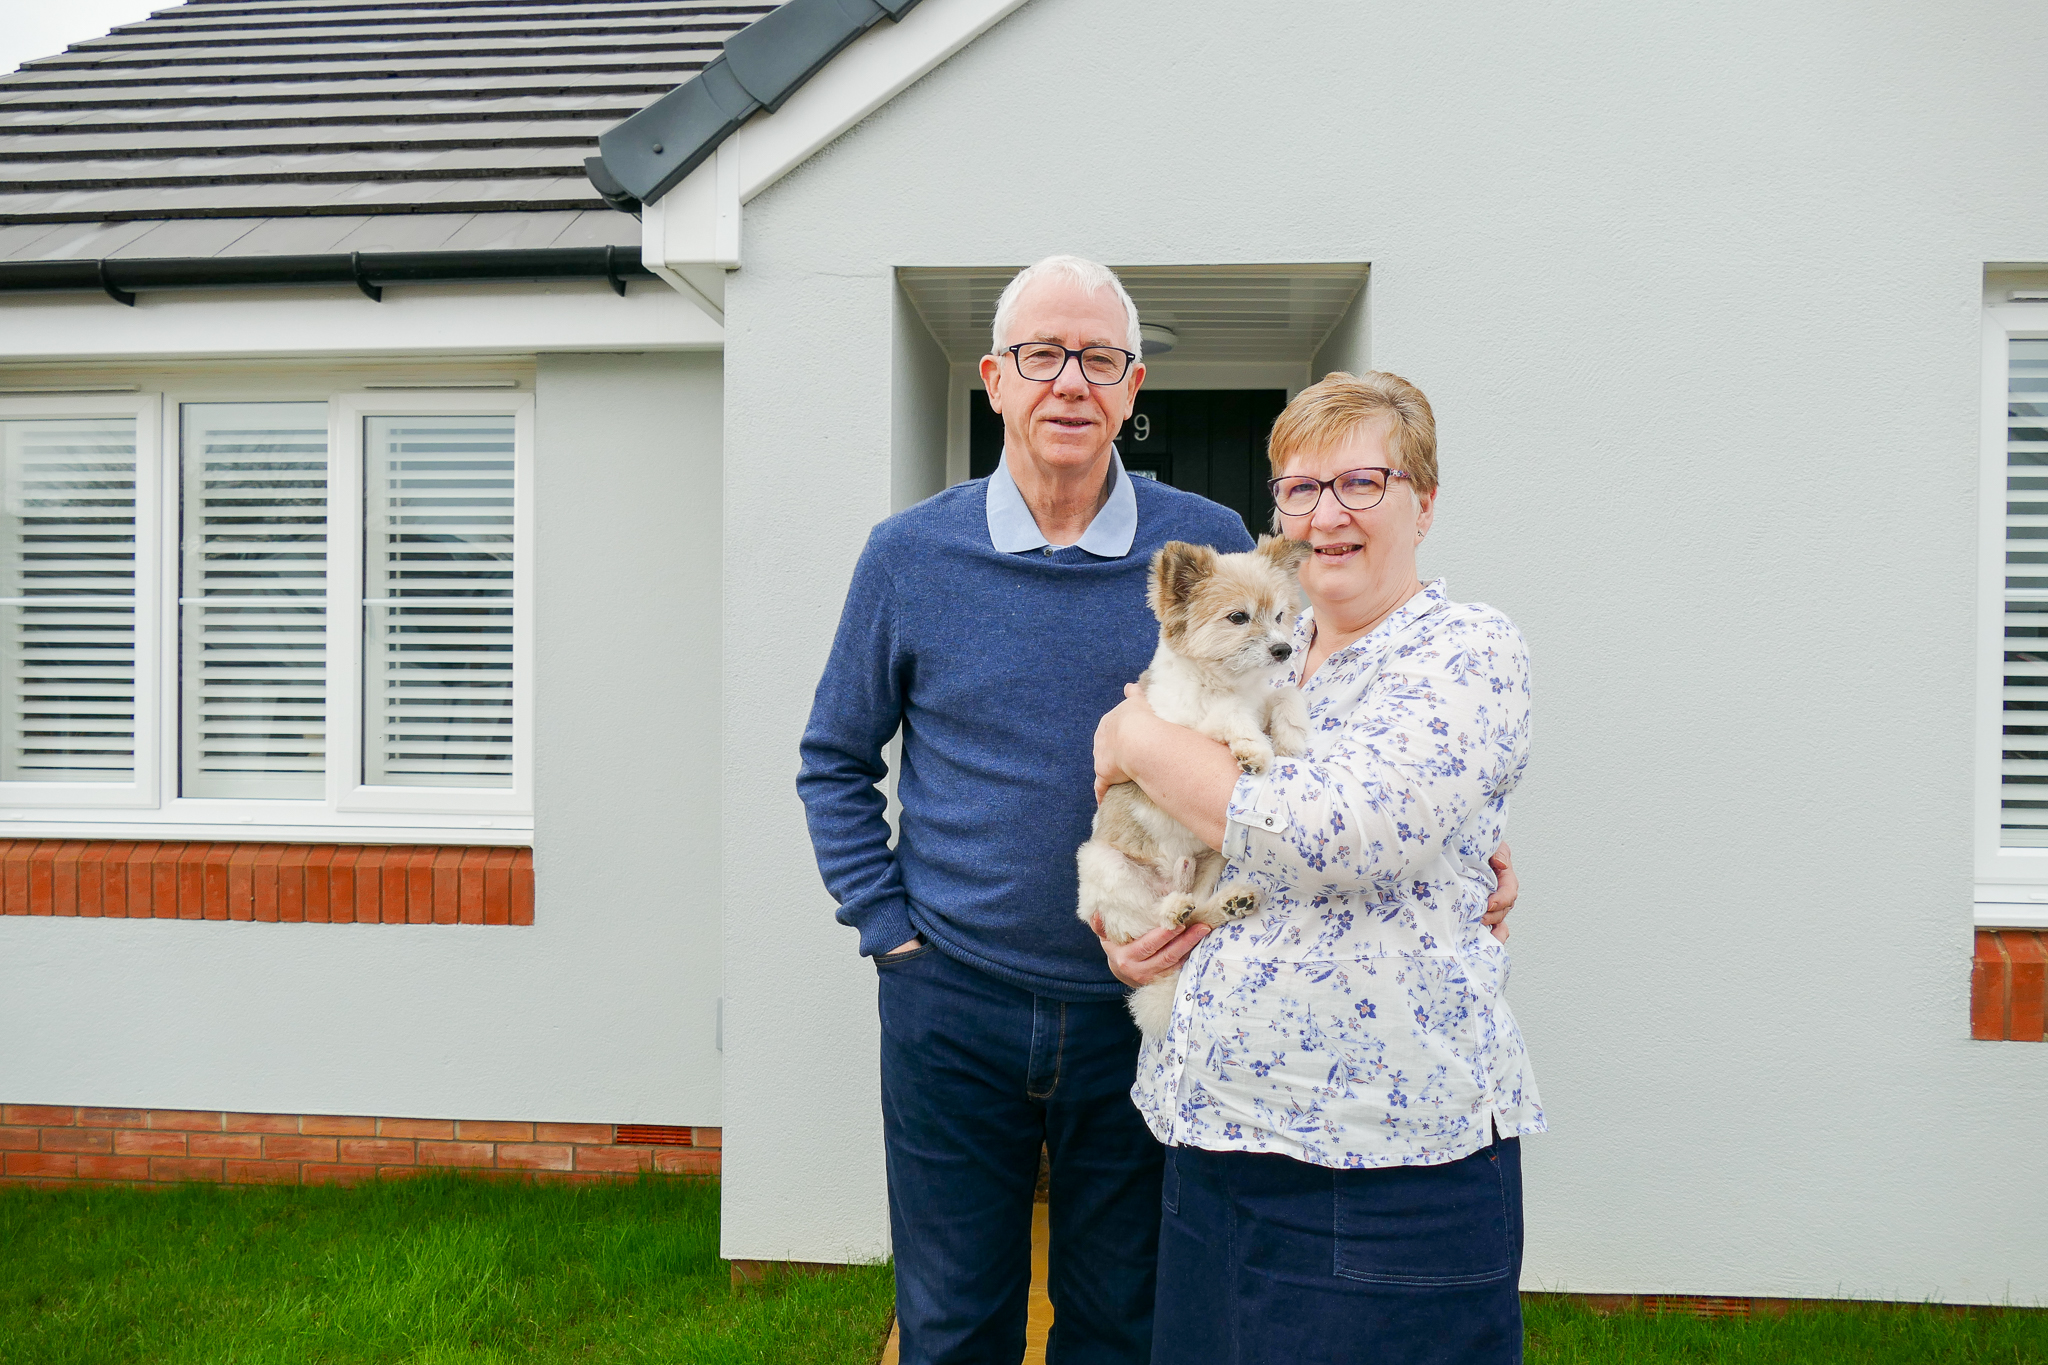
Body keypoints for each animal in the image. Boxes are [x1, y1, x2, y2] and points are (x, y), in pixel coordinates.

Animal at [1073, 532, 1310, 1035]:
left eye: (1281, 616)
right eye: (1238, 617)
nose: (1283, 650)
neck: (1228, 682)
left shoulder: (1260, 697)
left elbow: (1283, 693)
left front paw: (1291, 734)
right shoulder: (1179, 723)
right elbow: (1229, 716)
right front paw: (1254, 749)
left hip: (1214, 860)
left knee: (1195, 917)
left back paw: (1229, 903)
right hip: (1105, 866)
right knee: (1157, 927)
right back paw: (1171, 909)